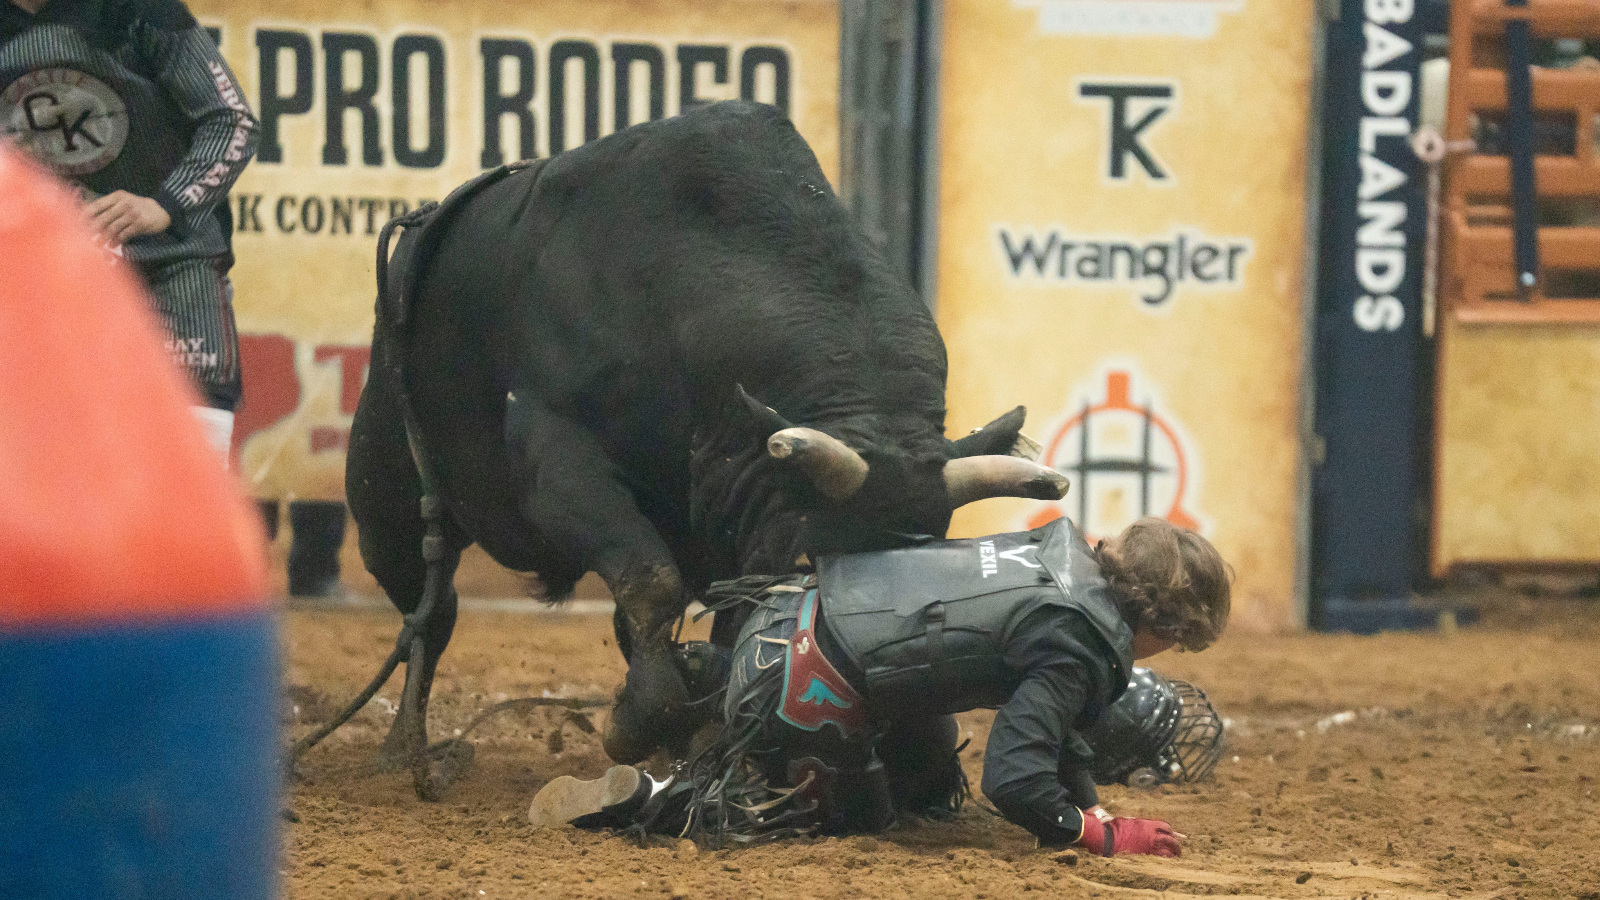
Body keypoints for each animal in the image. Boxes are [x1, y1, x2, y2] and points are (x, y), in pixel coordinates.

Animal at [347, 100, 1066, 774]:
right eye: (814, 564)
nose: (906, 732)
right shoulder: (557, 460)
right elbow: (650, 581)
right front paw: (636, 724)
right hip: (385, 490)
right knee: (429, 605)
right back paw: (404, 750)